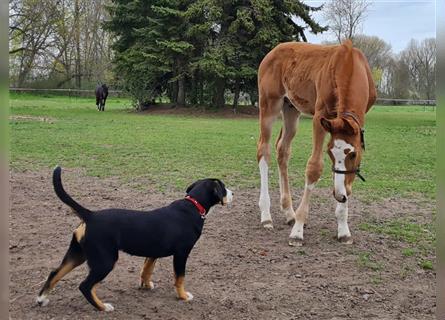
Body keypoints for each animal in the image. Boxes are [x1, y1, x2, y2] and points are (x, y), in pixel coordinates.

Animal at [35, 166, 232, 312]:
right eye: (223, 187)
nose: (233, 193)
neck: (193, 206)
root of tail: (91, 215)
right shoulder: (181, 253)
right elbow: (180, 277)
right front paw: (183, 296)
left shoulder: (153, 252)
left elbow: (146, 270)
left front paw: (146, 286)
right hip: (105, 260)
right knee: (85, 286)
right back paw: (103, 307)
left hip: (78, 254)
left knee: (55, 273)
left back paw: (42, 299)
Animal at [256, 39, 374, 245]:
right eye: (329, 153)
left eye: (353, 154)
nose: (339, 196)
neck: (349, 65)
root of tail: (273, 52)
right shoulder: (320, 116)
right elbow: (314, 168)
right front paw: (297, 232)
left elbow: (346, 180)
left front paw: (343, 229)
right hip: (269, 104)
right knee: (264, 150)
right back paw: (267, 216)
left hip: (291, 108)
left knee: (283, 150)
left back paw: (289, 213)